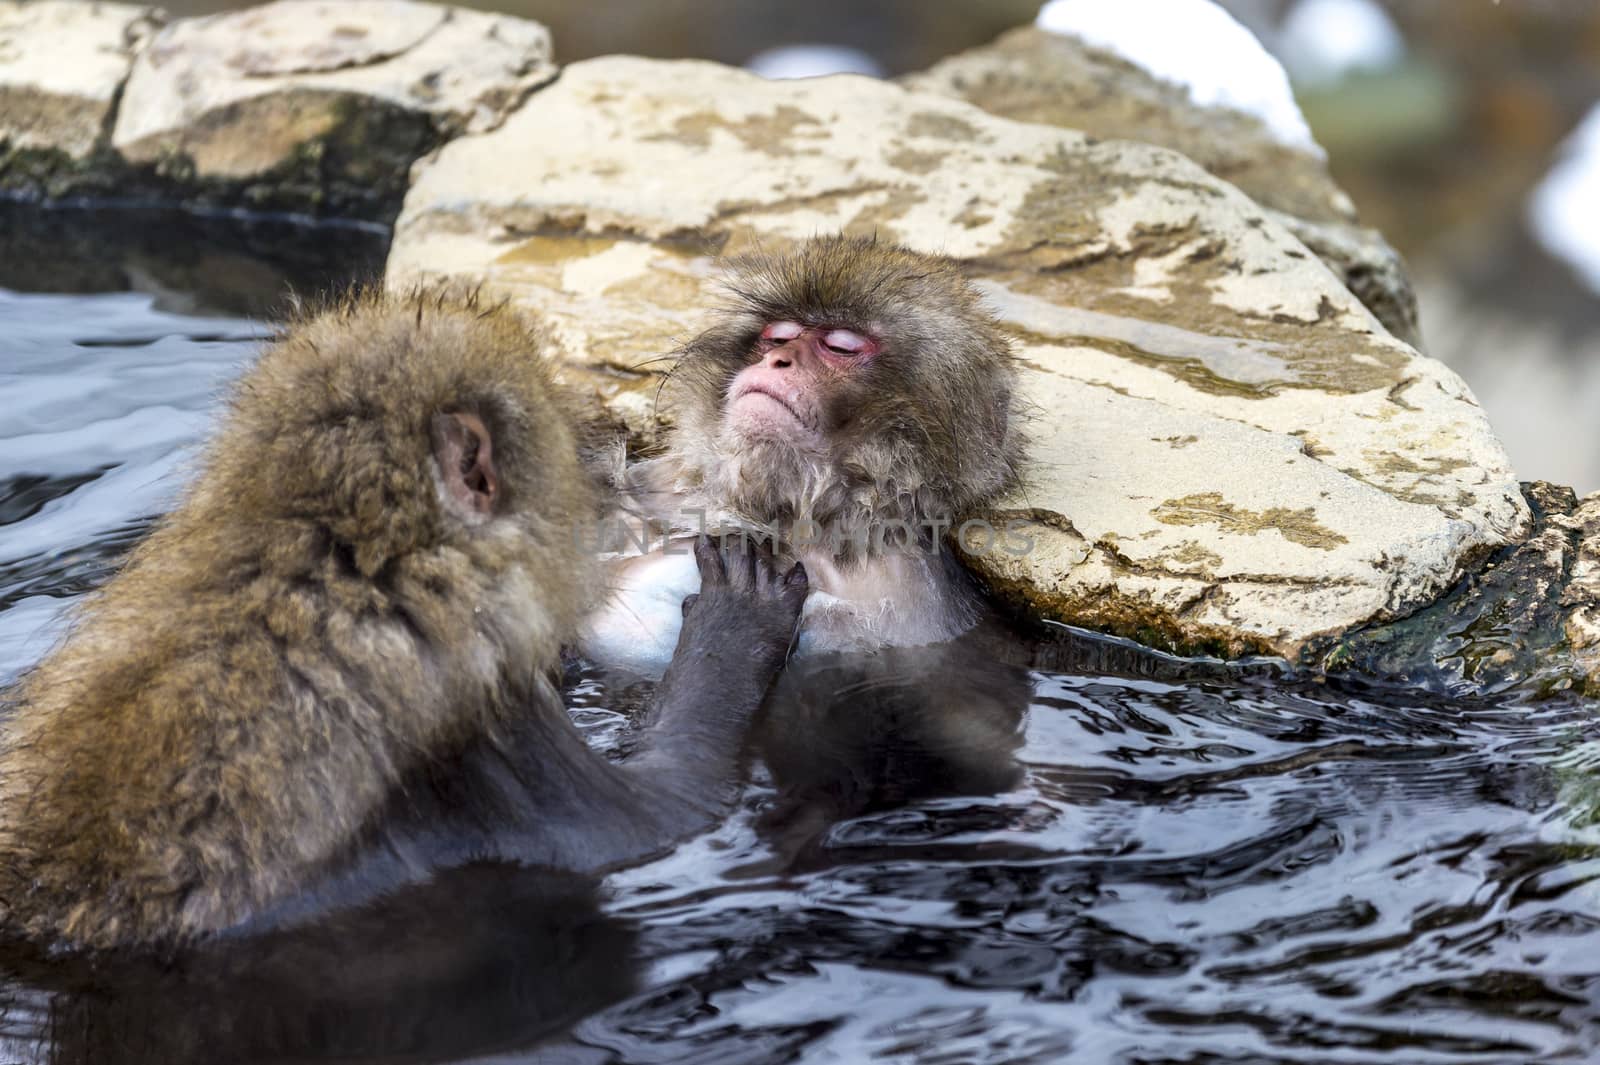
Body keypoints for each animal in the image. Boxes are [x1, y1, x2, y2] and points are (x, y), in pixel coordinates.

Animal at [0, 287, 806, 946]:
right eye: (556, 416)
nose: (613, 434)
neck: (338, 571)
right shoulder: (485, 724)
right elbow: (667, 808)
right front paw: (738, 614)